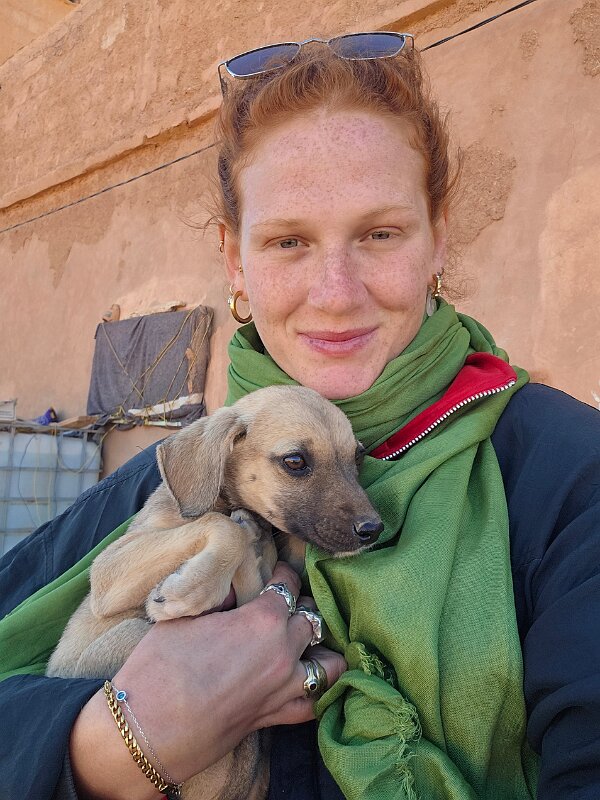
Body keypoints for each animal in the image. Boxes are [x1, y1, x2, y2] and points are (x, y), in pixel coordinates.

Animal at [47, 385, 383, 799]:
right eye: (295, 461)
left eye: (358, 457)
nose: (373, 529)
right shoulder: (108, 569)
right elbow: (219, 525)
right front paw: (189, 590)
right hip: (124, 638)